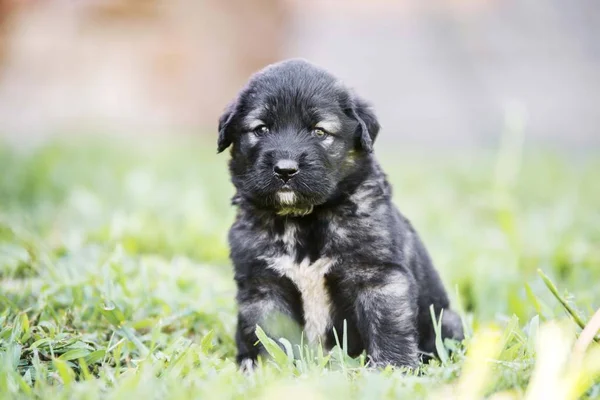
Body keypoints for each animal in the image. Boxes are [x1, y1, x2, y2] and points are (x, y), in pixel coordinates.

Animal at [219, 58, 464, 368]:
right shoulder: (263, 286)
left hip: (448, 322)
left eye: (319, 131)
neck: (303, 219)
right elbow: (269, 337)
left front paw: (393, 368)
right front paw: (268, 370)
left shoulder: (379, 277)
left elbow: (388, 328)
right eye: (261, 129)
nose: (285, 170)